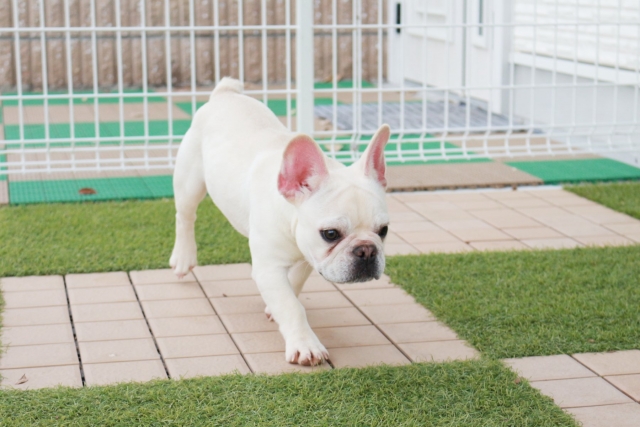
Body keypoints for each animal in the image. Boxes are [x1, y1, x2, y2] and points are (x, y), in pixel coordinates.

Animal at [170, 77, 390, 366]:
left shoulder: (308, 257)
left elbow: (293, 286)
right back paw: (183, 257)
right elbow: (291, 306)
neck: (290, 215)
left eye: (383, 230)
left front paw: (276, 310)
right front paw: (305, 344)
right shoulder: (268, 269)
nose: (366, 251)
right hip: (190, 180)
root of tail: (225, 93)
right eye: (330, 234)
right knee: (185, 216)